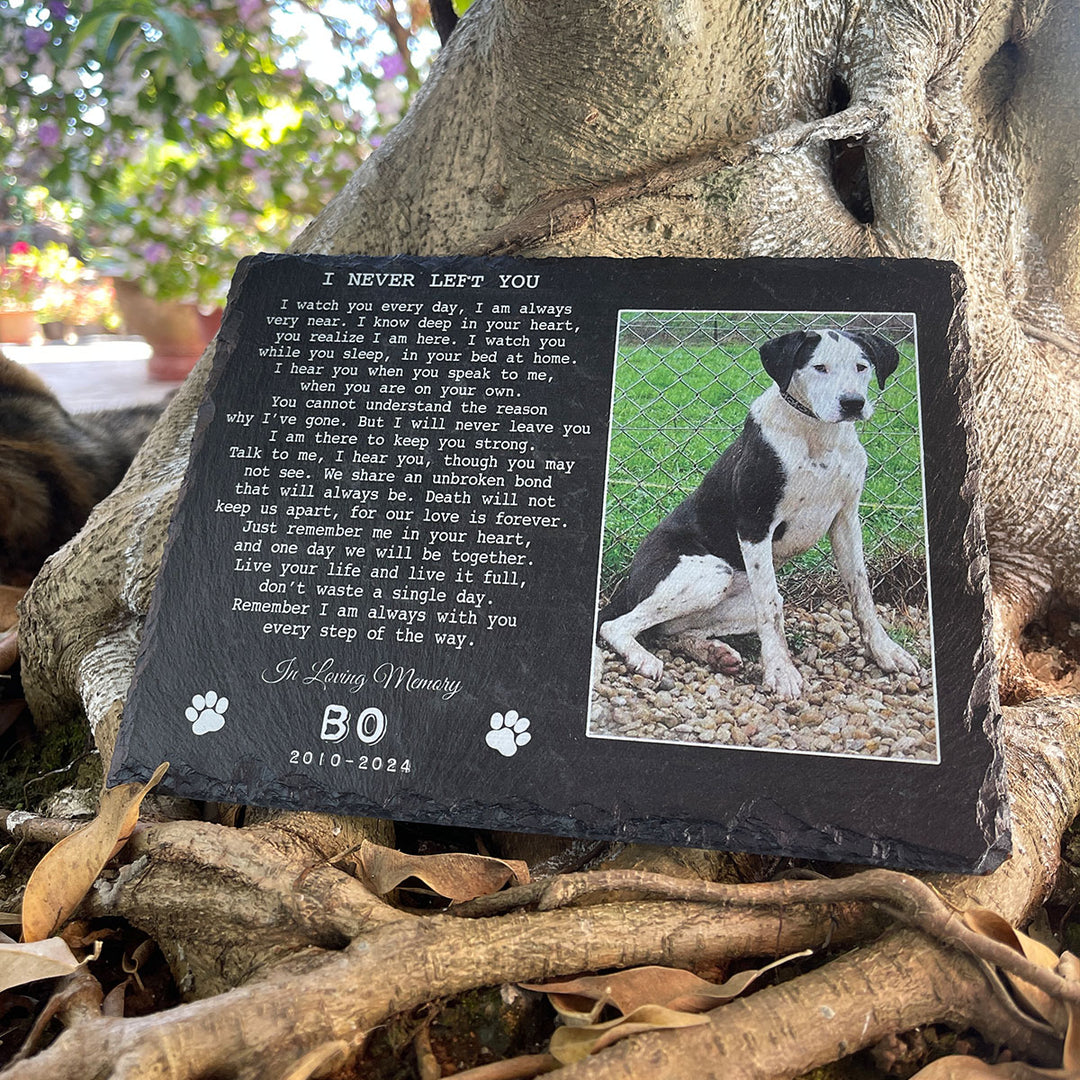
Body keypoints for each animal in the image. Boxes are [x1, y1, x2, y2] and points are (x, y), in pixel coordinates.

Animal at [600, 328, 920, 699]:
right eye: (819, 367)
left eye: (861, 366)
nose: (852, 403)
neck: (817, 435)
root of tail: (628, 582)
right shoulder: (755, 524)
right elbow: (770, 605)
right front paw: (780, 672)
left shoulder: (846, 520)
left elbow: (861, 593)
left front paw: (885, 651)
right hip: (710, 574)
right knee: (616, 625)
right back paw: (643, 658)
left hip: (730, 603)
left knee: (667, 630)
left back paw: (713, 652)